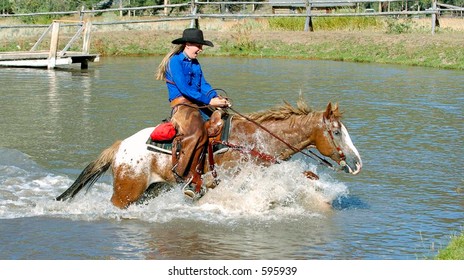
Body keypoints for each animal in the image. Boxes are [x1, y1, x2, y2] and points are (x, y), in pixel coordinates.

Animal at [57, 100, 362, 208]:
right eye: (336, 132)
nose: (357, 163)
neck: (255, 140)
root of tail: (120, 146)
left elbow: (304, 177)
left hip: (152, 189)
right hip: (127, 191)